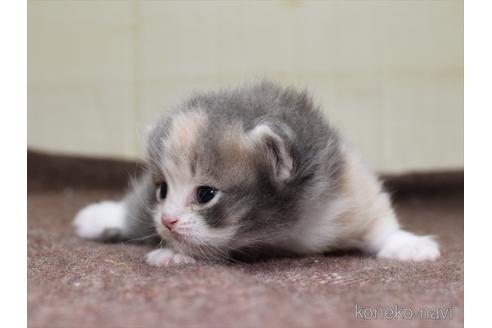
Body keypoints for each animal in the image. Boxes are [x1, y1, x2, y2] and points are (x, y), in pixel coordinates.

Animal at [75, 82, 440, 266]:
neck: (287, 230)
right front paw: (173, 252)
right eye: (162, 190)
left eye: (205, 194)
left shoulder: (350, 190)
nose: (167, 220)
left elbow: (381, 224)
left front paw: (407, 244)